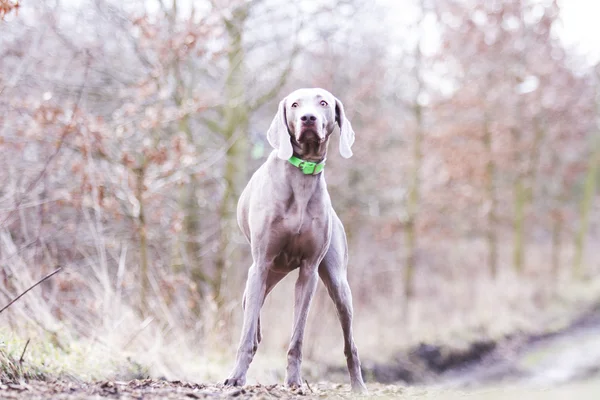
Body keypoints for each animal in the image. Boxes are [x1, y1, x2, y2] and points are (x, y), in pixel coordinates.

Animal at [224, 87, 366, 390]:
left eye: (323, 102)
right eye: (295, 104)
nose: (308, 118)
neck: (303, 174)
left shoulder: (309, 271)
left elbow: (297, 336)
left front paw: (293, 380)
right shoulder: (261, 263)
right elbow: (246, 332)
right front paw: (236, 377)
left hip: (339, 285)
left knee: (350, 343)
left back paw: (359, 386)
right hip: (262, 277)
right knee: (251, 311)